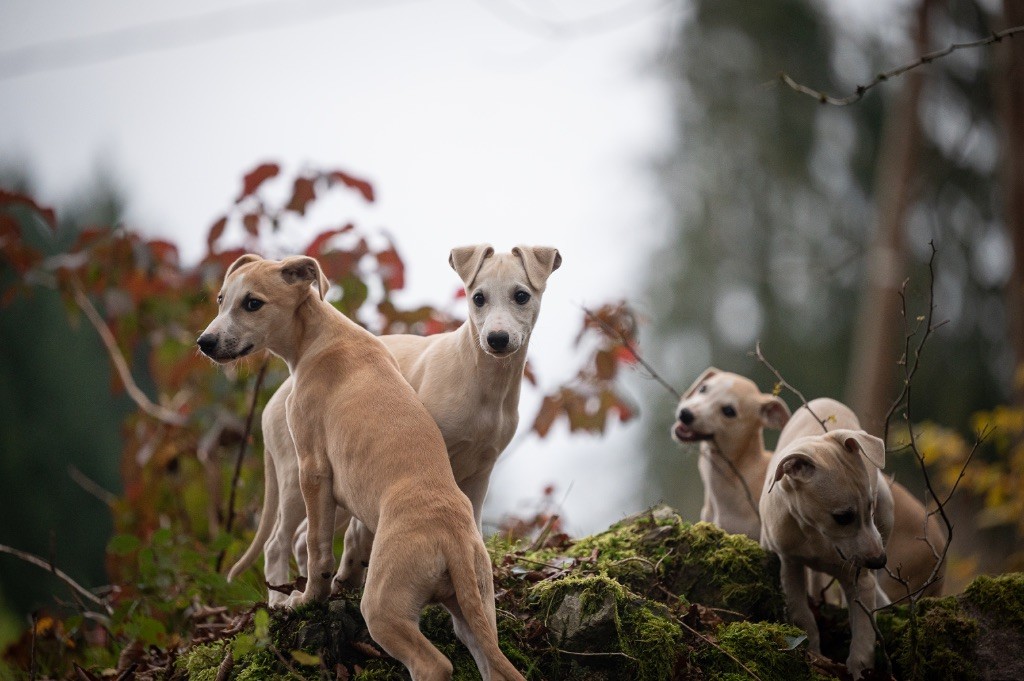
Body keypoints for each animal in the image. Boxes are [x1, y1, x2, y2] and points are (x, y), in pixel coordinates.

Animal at [198, 253, 524, 679]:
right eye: (221, 299)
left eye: (252, 303)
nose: (204, 343)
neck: (322, 334)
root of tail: (451, 538)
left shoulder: (313, 467)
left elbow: (318, 549)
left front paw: (307, 599)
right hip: (476, 609)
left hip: (383, 606)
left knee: (434, 663)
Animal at [761, 395, 897, 675]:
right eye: (842, 517)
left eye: (870, 507)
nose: (880, 561)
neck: (814, 534)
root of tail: (827, 400)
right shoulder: (788, 563)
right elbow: (802, 615)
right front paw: (813, 653)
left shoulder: (859, 579)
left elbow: (863, 632)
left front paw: (858, 670)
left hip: (887, 508)